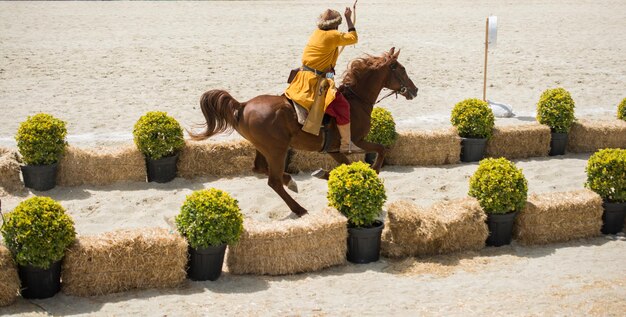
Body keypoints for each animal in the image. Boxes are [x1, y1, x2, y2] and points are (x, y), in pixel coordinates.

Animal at [188, 47, 416, 217]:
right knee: (273, 180)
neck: (356, 100)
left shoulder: (334, 150)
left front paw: (326, 174)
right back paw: (298, 208)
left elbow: (347, 164)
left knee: (260, 169)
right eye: (401, 69)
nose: (415, 90)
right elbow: (380, 149)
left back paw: (291, 182)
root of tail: (242, 106)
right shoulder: (356, 141)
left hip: (264, 148)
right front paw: (373, 171)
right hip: (277, 150)